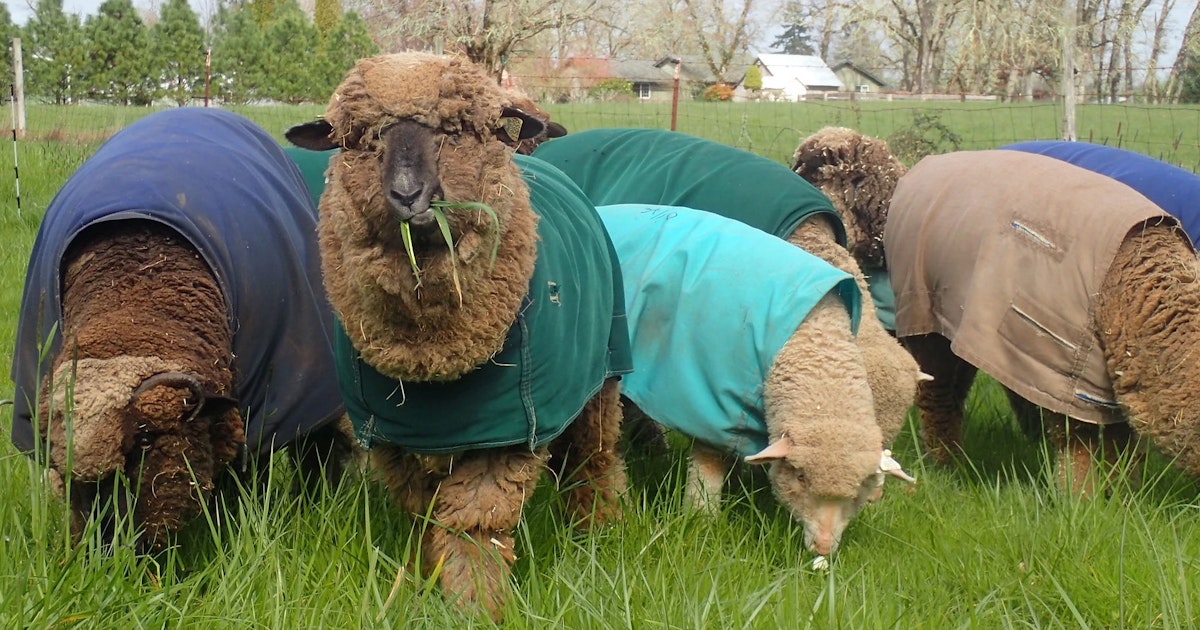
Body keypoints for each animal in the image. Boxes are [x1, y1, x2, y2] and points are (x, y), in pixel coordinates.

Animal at [9, 107, 349, 550]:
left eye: (145, 439)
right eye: (55, 453)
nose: (105, 549)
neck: (135, 297)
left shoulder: (257, 408)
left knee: (321, 449)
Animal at [284, 52, 631, 619]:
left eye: (455, 131)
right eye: (361, 139)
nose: (407, 195)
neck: (432, 361)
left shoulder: (506, 435)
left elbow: (474, 527)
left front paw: (474, 608)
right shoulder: (394, 439)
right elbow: (425, 513)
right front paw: (428, 582)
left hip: (603, 378)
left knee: (594, 457)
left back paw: (597, 532)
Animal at [598, 202, 914, 557]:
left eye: (858, 488)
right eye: (800, 477)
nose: (822, 548)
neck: (812, 340)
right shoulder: (713, 404)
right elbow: (709, 466)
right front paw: (701, 518)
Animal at [793, 127, 1200, 494]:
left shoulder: (1096, 371)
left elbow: (1114, 440)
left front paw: (1116, 494)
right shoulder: (1058, 360)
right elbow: (1079, 440)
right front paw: (1081, 499)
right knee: (949, 396)